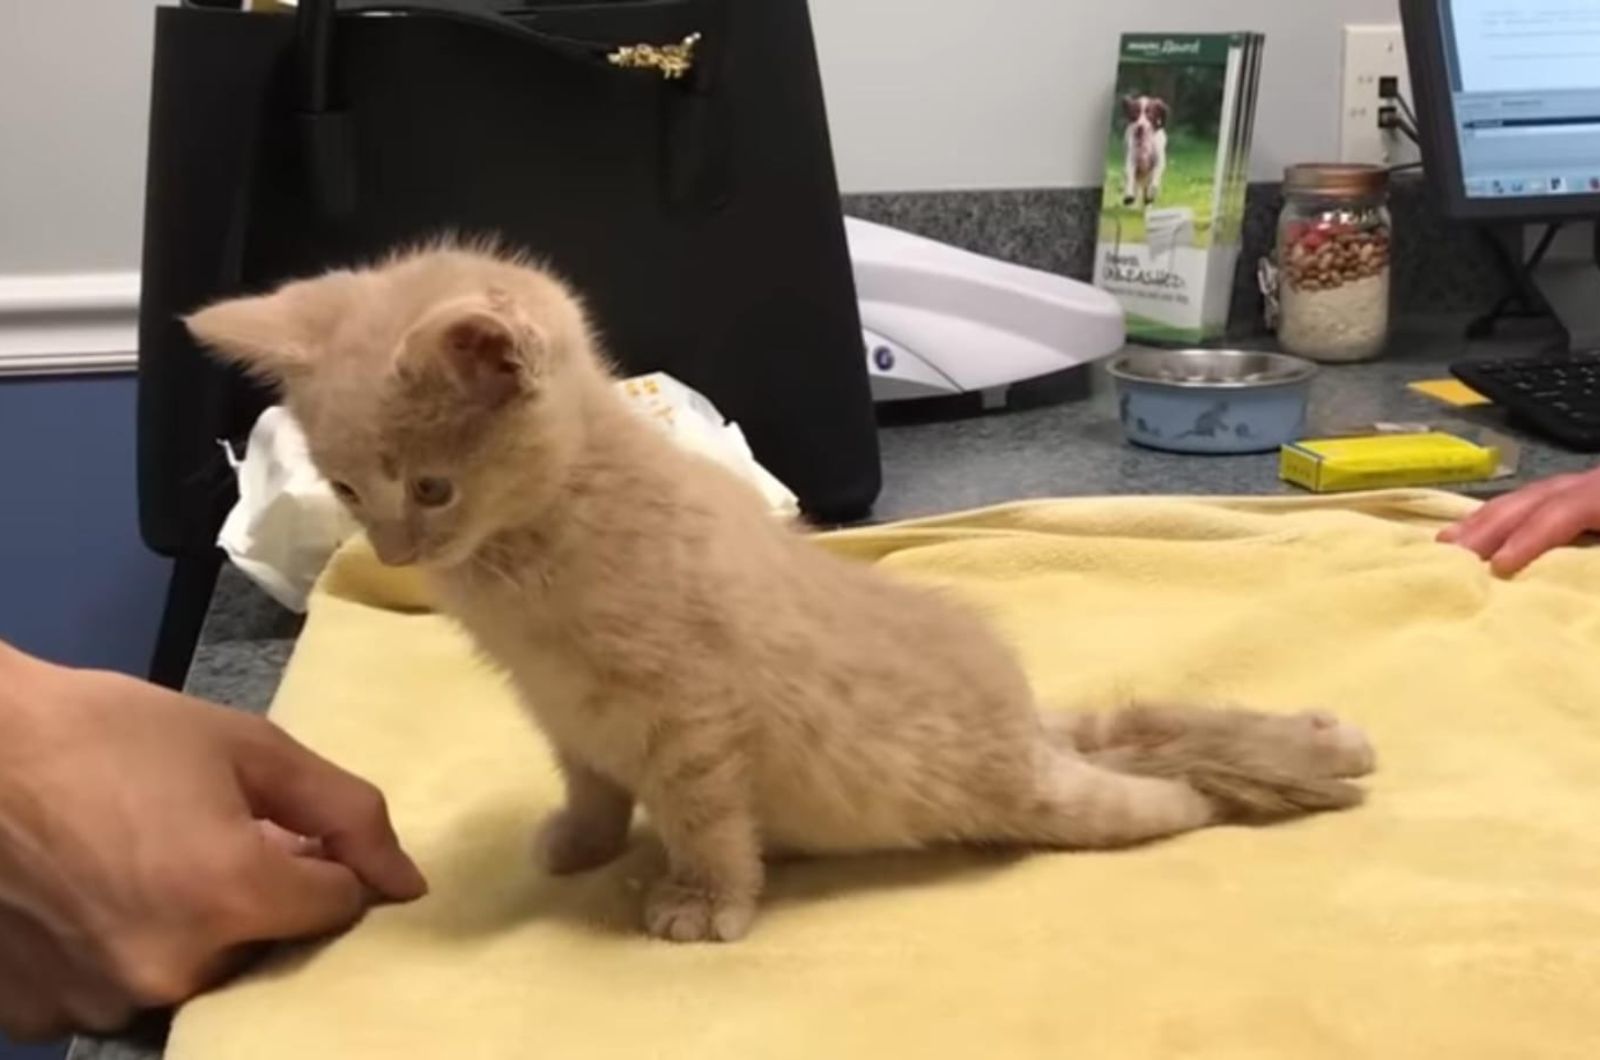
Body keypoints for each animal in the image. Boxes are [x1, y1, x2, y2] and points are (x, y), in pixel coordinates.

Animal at [190, 246, 1376, 947]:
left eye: (431, 488)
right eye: (348, 489)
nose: (392, 546)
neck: (533, 552)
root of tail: (1019, 723)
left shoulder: (693, 710)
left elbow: (706, 814)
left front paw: (704, 900)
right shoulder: (565, 712)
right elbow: (591, 780)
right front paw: (584, 839)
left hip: (1029, 796)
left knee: (1148, 792)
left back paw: (1229, 790)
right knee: (1135, 733)